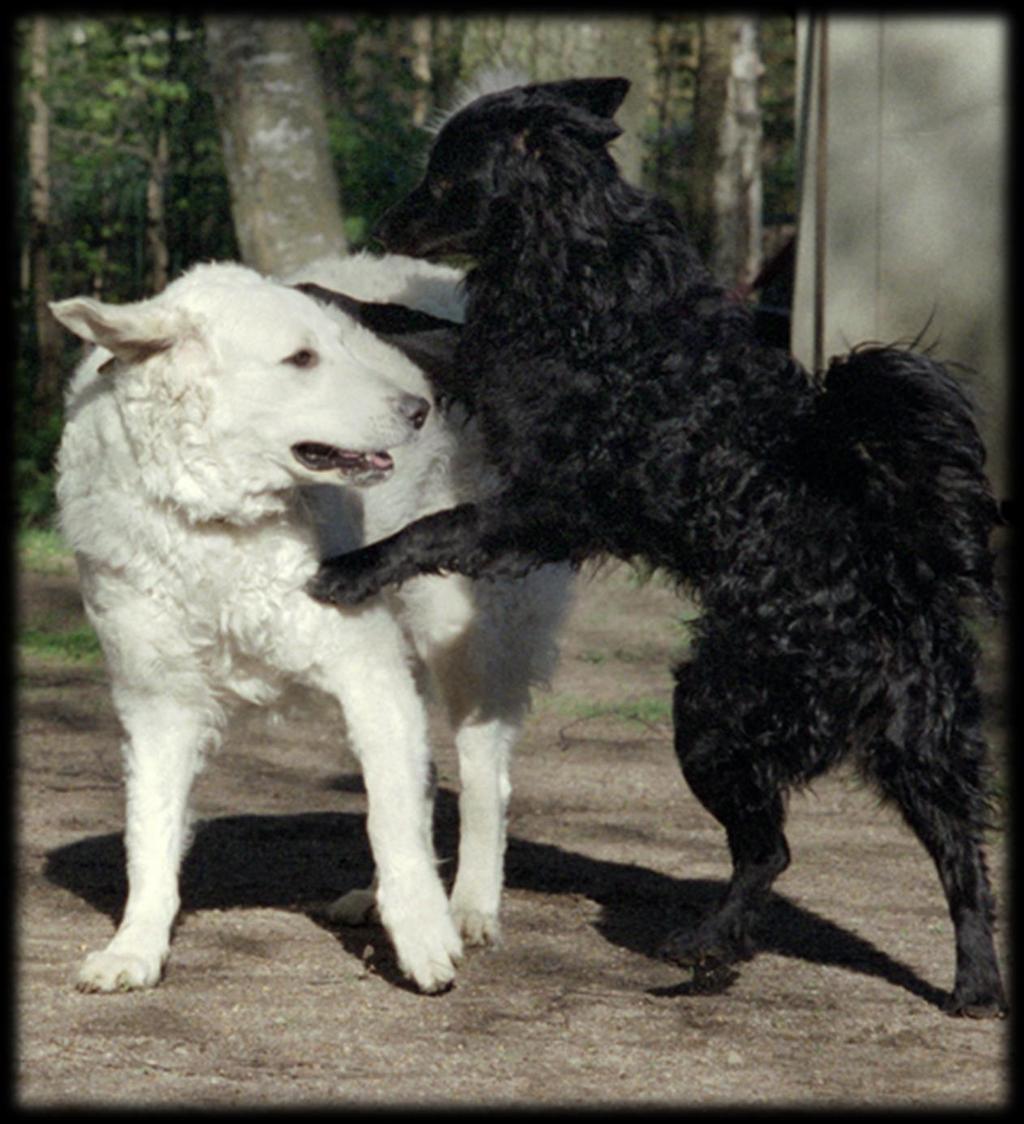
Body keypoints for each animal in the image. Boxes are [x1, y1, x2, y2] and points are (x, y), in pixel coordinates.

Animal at [51, 257, 573, 993]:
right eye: (301, 358)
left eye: (341, 344)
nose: (419, 410)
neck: (217, 524)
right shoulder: (158, 707)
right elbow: (148, 837)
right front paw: (136, 947)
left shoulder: (367, 673)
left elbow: (391, 822)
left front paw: (424, 937)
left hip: (468, 641)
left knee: (481, 782)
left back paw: (468, 907)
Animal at [310, 74, 1007, 1016]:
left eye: (444, 176)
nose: (380, 227)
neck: (584, 265)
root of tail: (900, 572)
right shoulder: (491, 362)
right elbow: (405, 316)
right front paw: (330, 294)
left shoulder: (547, 508)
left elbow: (432, 527)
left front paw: (352, 570)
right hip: (920, 749)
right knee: (960, 857)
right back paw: (975, 983)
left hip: (714, 713)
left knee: (772, 850)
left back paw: (707, 945)